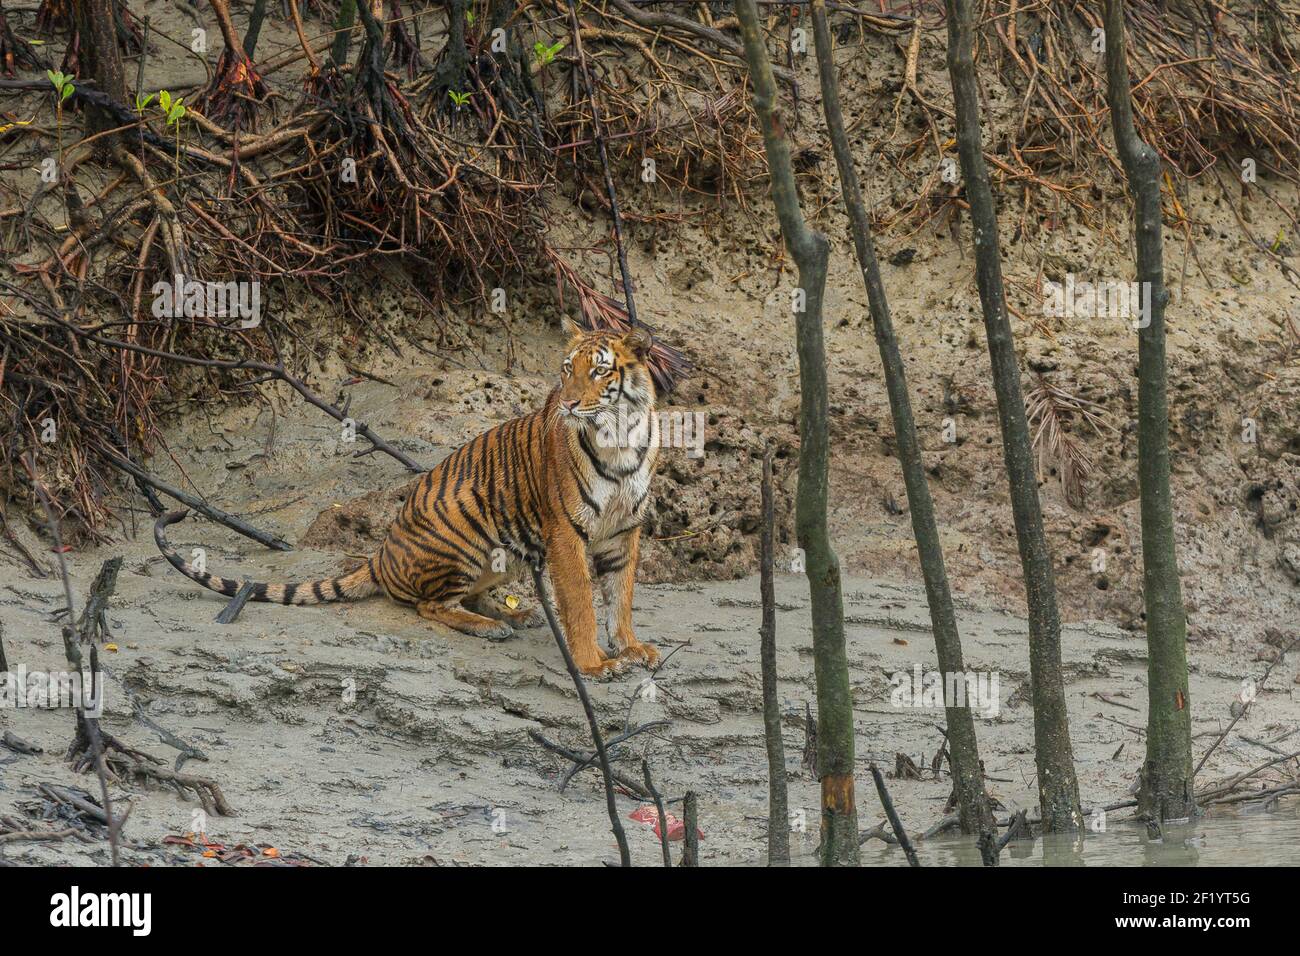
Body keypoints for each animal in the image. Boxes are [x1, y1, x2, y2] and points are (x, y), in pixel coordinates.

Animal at [154, 321, 660, 681]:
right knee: (430, 605)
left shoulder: (624, 530)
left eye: (599, 370)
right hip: (467, 530)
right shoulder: (565, 532)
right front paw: (593, 664)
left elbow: (620, 595)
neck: (618, 437)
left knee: (467, 597)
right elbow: (580, 603)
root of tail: (379, 554)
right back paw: (492, 625)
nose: (569, 404)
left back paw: (515, 614)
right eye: (566, 369)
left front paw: (632, 648)